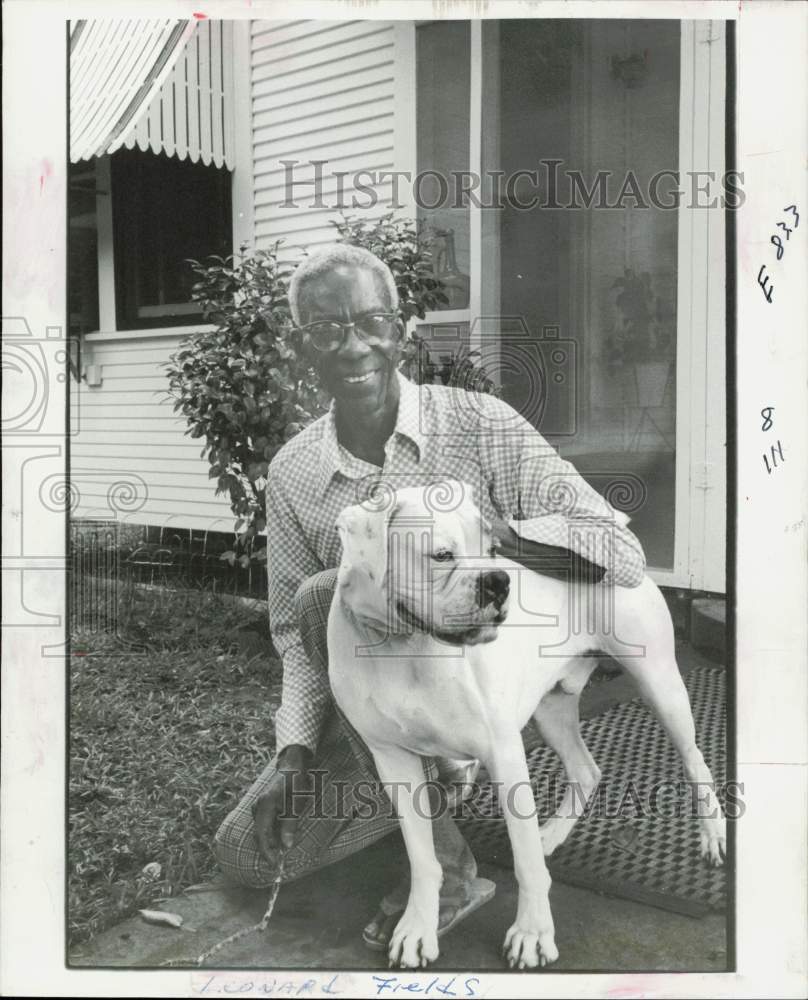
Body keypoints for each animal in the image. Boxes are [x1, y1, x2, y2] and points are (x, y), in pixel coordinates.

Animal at [328, 482, 724, 968]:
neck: (404, 645)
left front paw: (533, 933)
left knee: (695, 761)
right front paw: (417, 928)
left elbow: (525, 862)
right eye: (441, 555)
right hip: (552, 711)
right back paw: (551, 833)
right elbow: (423, 857)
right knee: (586, 770)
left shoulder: (504, 756)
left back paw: (713, 836)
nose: (499, 581)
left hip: (661, 686)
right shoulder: (393, 762)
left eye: (492, 549)